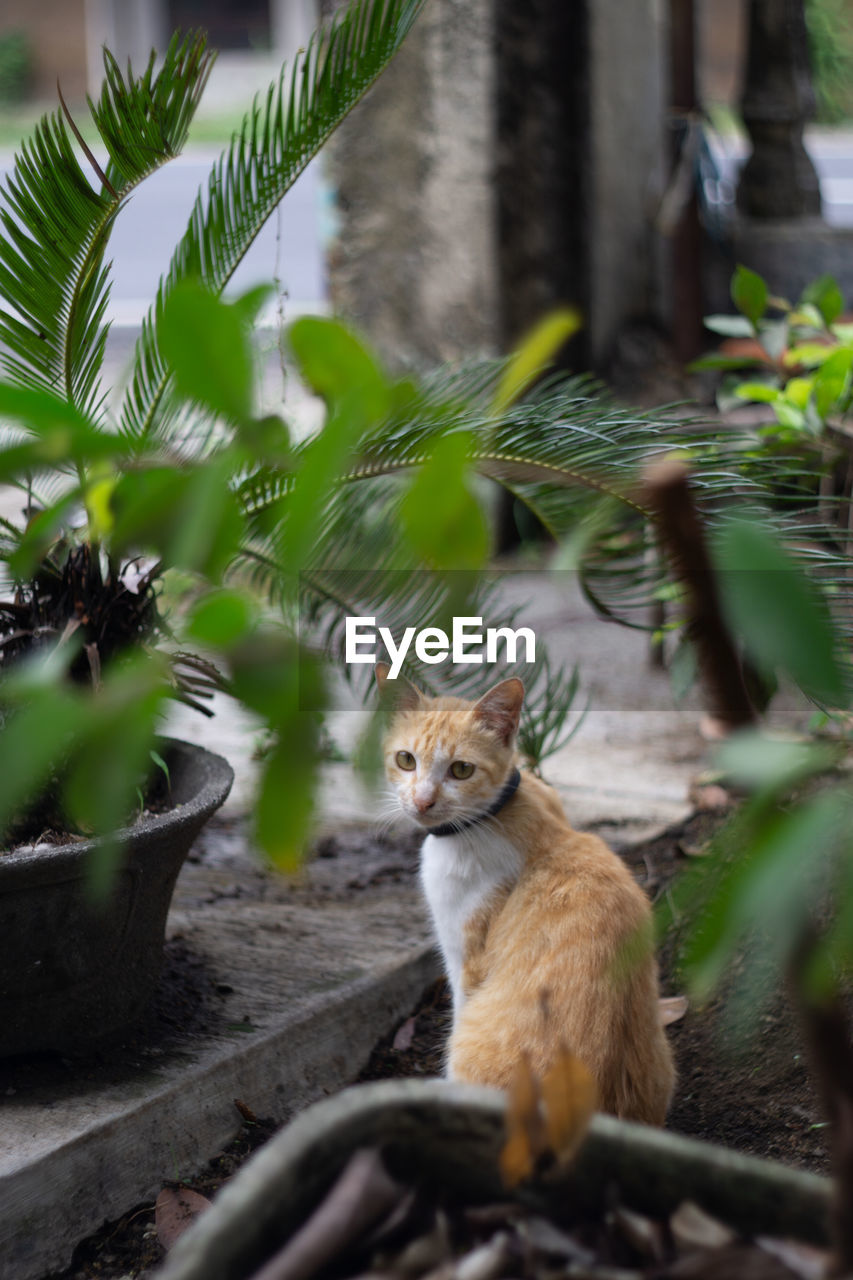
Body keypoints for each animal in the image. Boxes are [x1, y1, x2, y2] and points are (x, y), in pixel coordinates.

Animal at [376, 665, 676, 1126]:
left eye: (461, 770)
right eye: (405, 760)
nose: (422, 802)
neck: (493, 814)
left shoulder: (464, 957)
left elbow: (459, 1007)